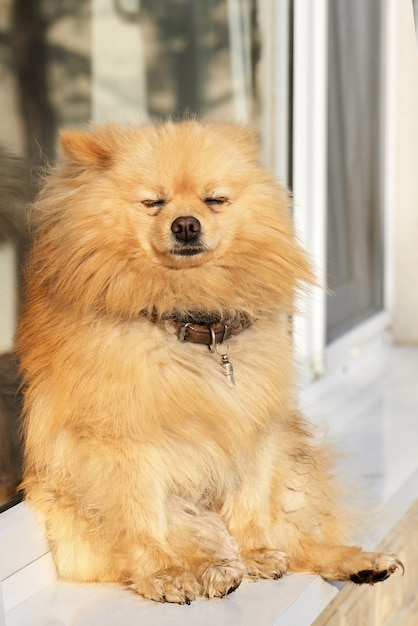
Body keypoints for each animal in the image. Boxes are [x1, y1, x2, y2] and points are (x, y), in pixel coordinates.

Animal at [17, 119, 402, 604]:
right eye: (154, 202)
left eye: (214, 200)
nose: (186, 224)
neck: (193, 318)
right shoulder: (122, 444)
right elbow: (141, 519)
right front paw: (164, 574)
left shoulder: (251, 429)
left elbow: (250, 501)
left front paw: (256, 551)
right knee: (195, 536)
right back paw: (213, 570)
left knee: (294, 541)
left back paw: (355, 562)